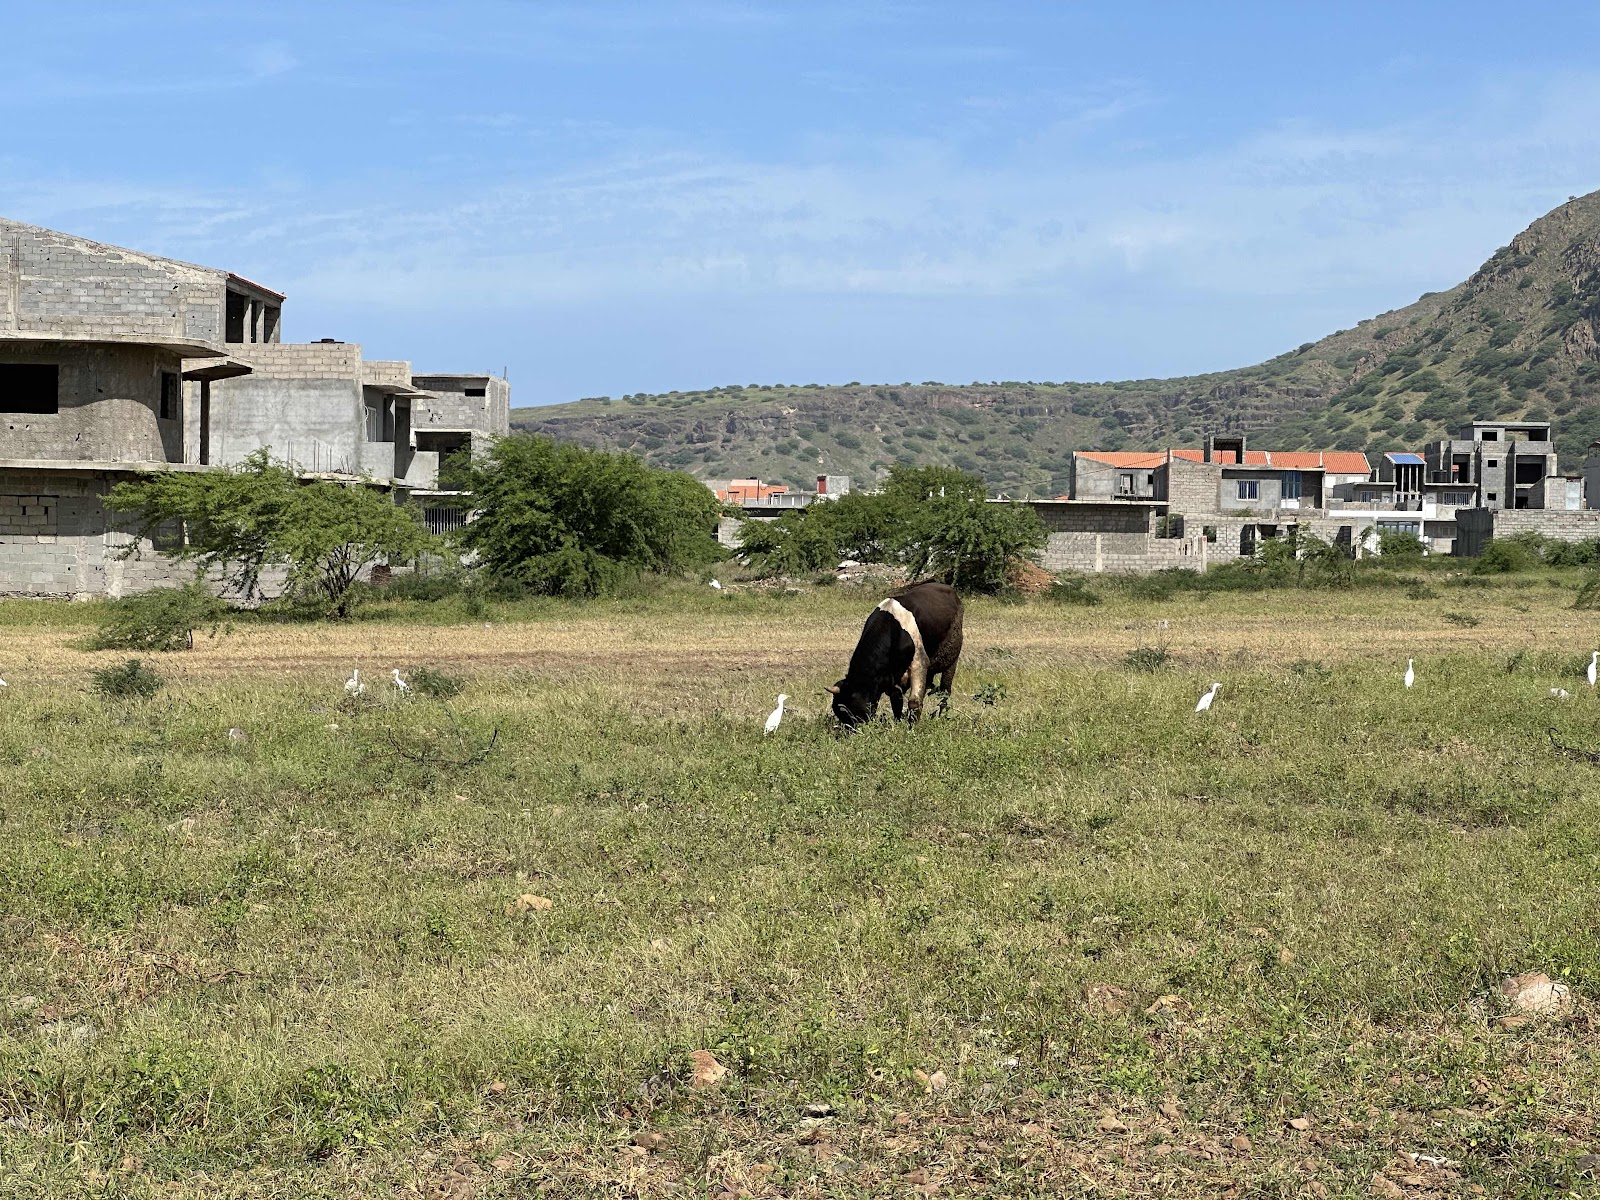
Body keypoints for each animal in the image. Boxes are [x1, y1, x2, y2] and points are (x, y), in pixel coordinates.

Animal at [832, 579, 953, 729]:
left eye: (850, 710)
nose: (850, 730)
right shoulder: (892, 676)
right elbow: (896, 701)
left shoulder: (919, 663)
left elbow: (914, 701)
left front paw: (912, 728)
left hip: (951, 659)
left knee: (945, 690)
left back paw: (943, 716)